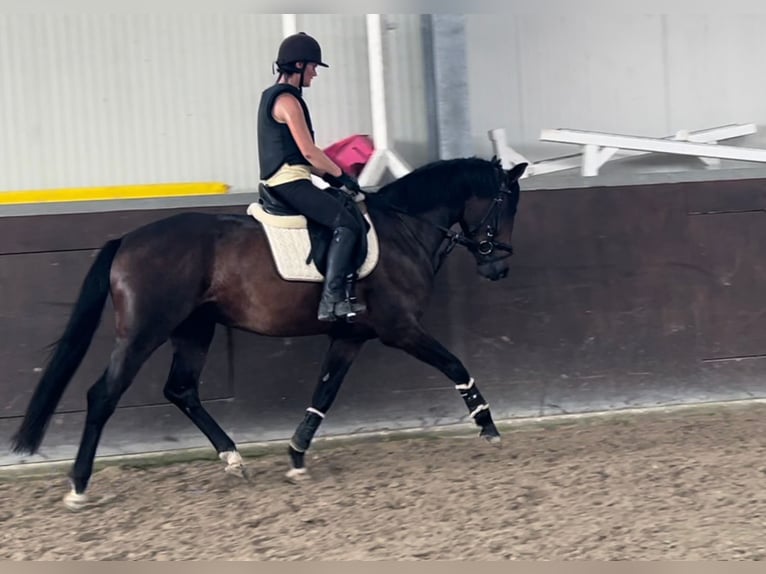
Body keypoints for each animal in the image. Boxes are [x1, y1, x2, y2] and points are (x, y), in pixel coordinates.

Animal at [10, 155, 528, 510]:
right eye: (504, 208)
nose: (499, 267)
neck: (403, 229)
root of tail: (126, 242)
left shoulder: (350, 336)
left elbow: (324, 394)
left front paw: (296, 456)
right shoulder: (400, 329)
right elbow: (455, 364)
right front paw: (488, 426)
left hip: (194, 329)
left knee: (181, 389)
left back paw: (233, 459)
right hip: (144, 333)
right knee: (104, 394)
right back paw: (78, 486)